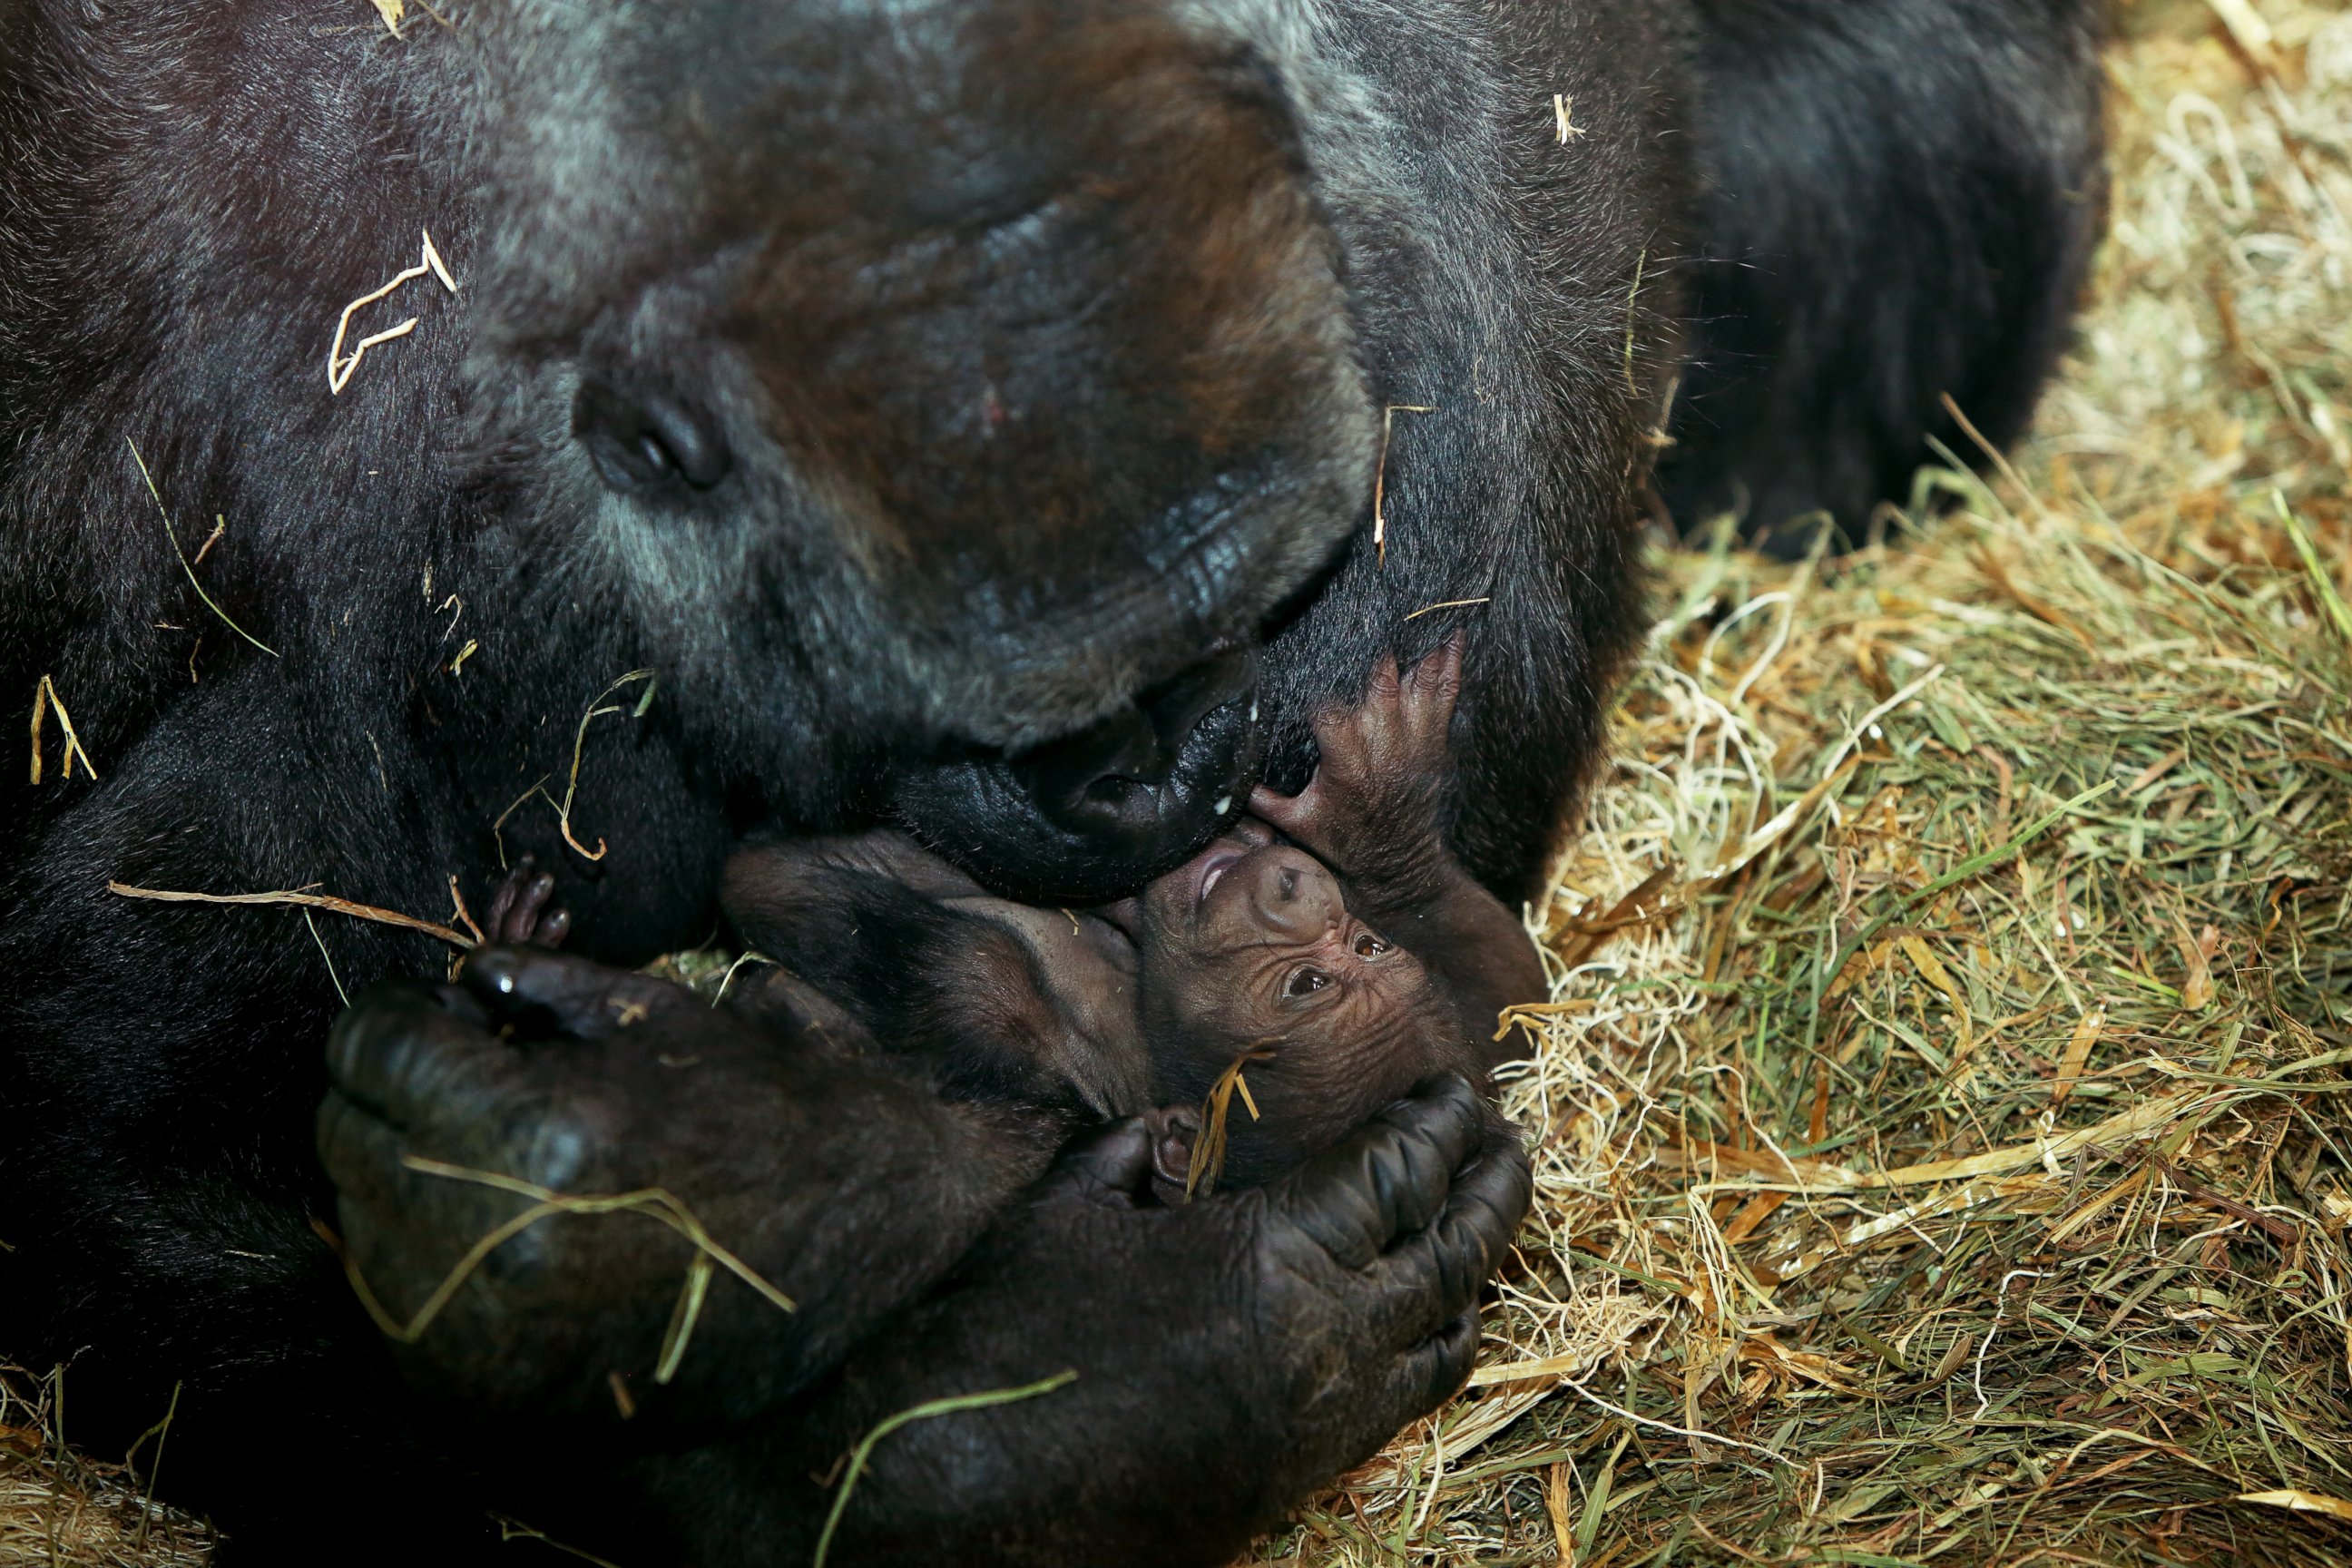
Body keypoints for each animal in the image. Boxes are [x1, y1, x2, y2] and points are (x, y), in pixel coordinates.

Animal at [724, 639, 1552, 1189]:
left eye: (1306, 988)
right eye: (1365, 946)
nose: (1296, 886)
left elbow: (773, 884)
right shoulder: (1475, 1034)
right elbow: (1514, 992)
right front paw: (1382, 816)